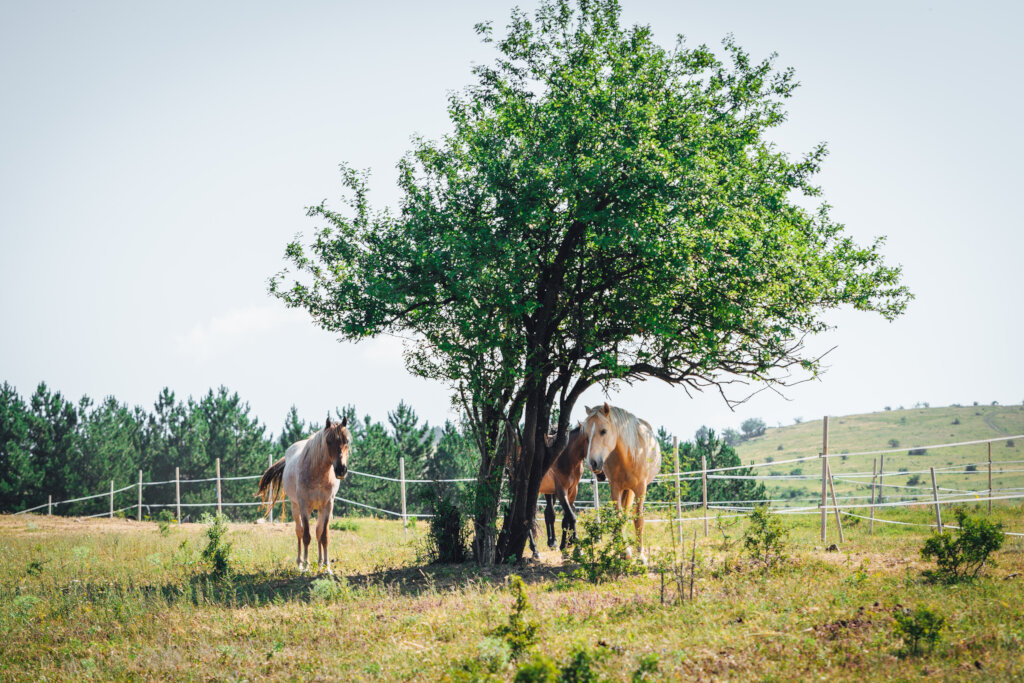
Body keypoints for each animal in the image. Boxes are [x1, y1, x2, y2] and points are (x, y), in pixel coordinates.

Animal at [257, 415, 351, 573]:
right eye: (328, 441)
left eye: (347, 441)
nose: (341, 470)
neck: (319, 475)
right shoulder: (304, 506)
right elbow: (306, 535)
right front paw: (306, 566)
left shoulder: (328, 505)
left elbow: (324, 536)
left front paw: (326, 567)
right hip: (295, 507)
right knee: (299, 531)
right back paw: (300, 563)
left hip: (319, 509)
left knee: (318, 532)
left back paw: (319, 563)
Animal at [527, 425, 589, 556]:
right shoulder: (561, 491)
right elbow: (570, 516)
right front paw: (576, 546)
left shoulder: (572, 491)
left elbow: (566, 517)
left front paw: (564, 544)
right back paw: (534, 549)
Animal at [582, 402, 661, 561]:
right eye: (586, 434)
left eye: (603, 431)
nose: (592, 463)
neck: (630, 456)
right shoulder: (615, 488)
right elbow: (618, 517)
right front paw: (622, 550)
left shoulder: (640, 489)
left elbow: (638, 518)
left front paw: (640, 555)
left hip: (631, 490)